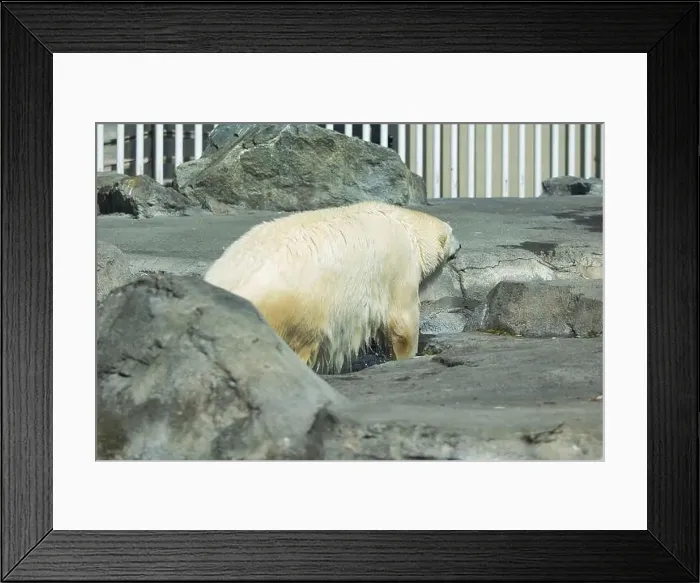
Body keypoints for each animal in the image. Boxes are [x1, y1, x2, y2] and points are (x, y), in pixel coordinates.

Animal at [203, 201, 461, 374]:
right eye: (452, 233)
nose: (460, 246)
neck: (405, 224)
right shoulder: (398, 266)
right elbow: (401, 320)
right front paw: (407, 356)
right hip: (293, 303)